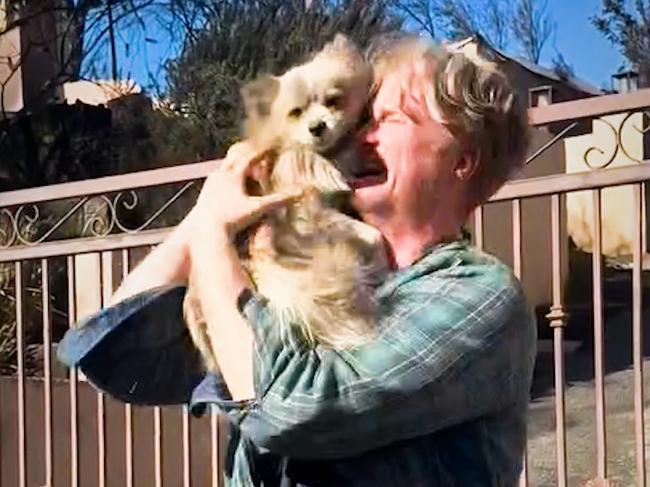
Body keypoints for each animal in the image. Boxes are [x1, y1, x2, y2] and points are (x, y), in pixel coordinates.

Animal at [182, 34, 384, 376]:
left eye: (334, 101)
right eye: (295, 112)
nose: (317, 127)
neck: (320, 157)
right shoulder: (308, 214)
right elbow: (372, 233)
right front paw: (381, 252)